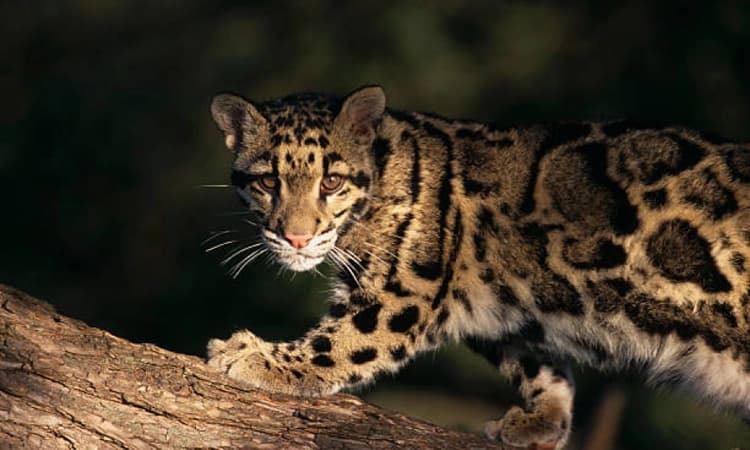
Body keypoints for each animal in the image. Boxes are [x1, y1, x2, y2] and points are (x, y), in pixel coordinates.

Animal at [206, 85, 750, 449]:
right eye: (269, 183)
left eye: (332, 182)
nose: (295, 236)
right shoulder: (500, 304)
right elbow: (536, 361)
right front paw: (541, 420)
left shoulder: (403, 292)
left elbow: (341, 343)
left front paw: (259, 357)